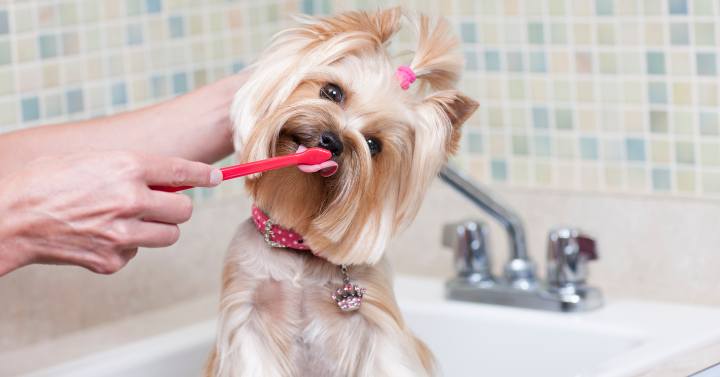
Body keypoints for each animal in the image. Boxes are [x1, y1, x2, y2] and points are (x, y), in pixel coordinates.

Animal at [205, 6, 478, 376]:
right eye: (332, 92)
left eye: (374, 144)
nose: (332, 140)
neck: (297, 248)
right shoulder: (247, 316)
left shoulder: (379, 324)